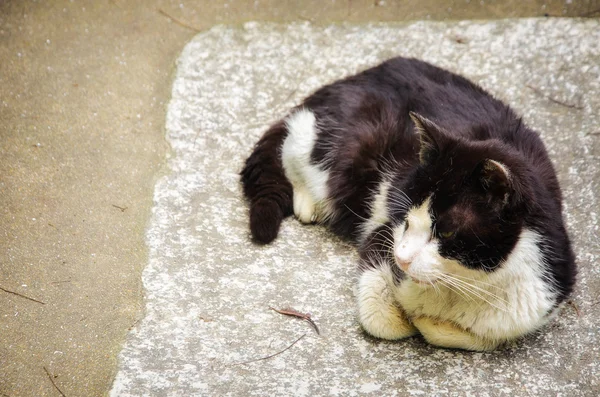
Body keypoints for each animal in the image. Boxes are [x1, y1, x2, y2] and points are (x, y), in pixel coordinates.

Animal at [240, 56, 576, 350]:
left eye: (447, 231)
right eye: (406, 216)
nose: (401, 258)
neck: (461, 285)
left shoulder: (544, 294)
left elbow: (481, 337)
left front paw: (429, 322)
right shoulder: (382, 237)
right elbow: (382, 320)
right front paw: (410, 318)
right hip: (344, 143)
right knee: (295, 143)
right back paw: (307, 201)